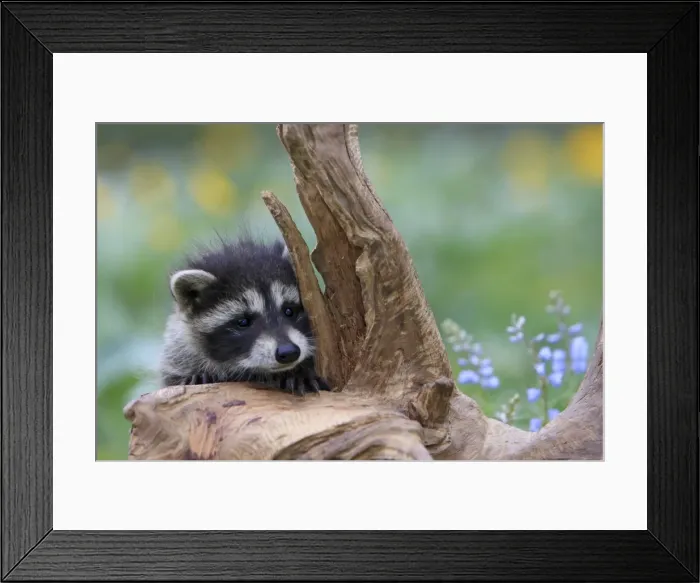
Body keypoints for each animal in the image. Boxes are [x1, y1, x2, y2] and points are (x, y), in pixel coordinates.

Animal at [158, 235, 330, 396]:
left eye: (289, 311)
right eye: (243, 322)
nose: (288, 352)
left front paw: (300, 372)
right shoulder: (178, 353)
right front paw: (199, 375)